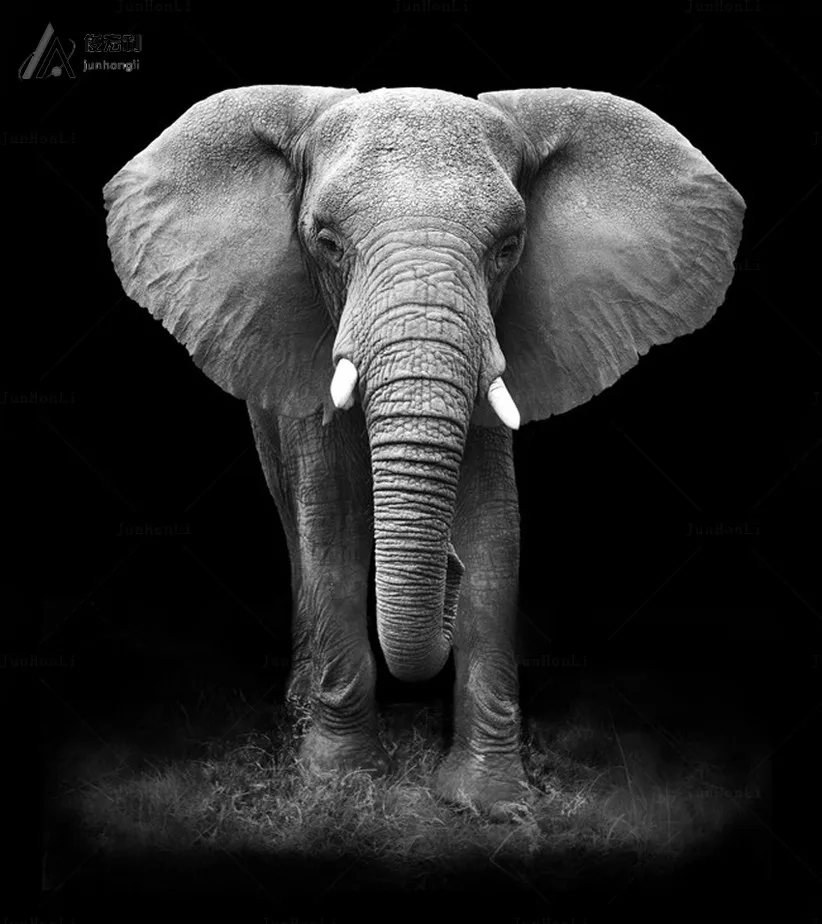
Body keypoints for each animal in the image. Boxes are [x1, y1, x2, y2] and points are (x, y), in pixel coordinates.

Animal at [103, 85, 745, 816]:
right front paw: (342, 784)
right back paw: (299, 709)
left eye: (509, 247)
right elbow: (334, 525)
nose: (447, 570)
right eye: (326, 243)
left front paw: (489, 802)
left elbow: (496, 528)